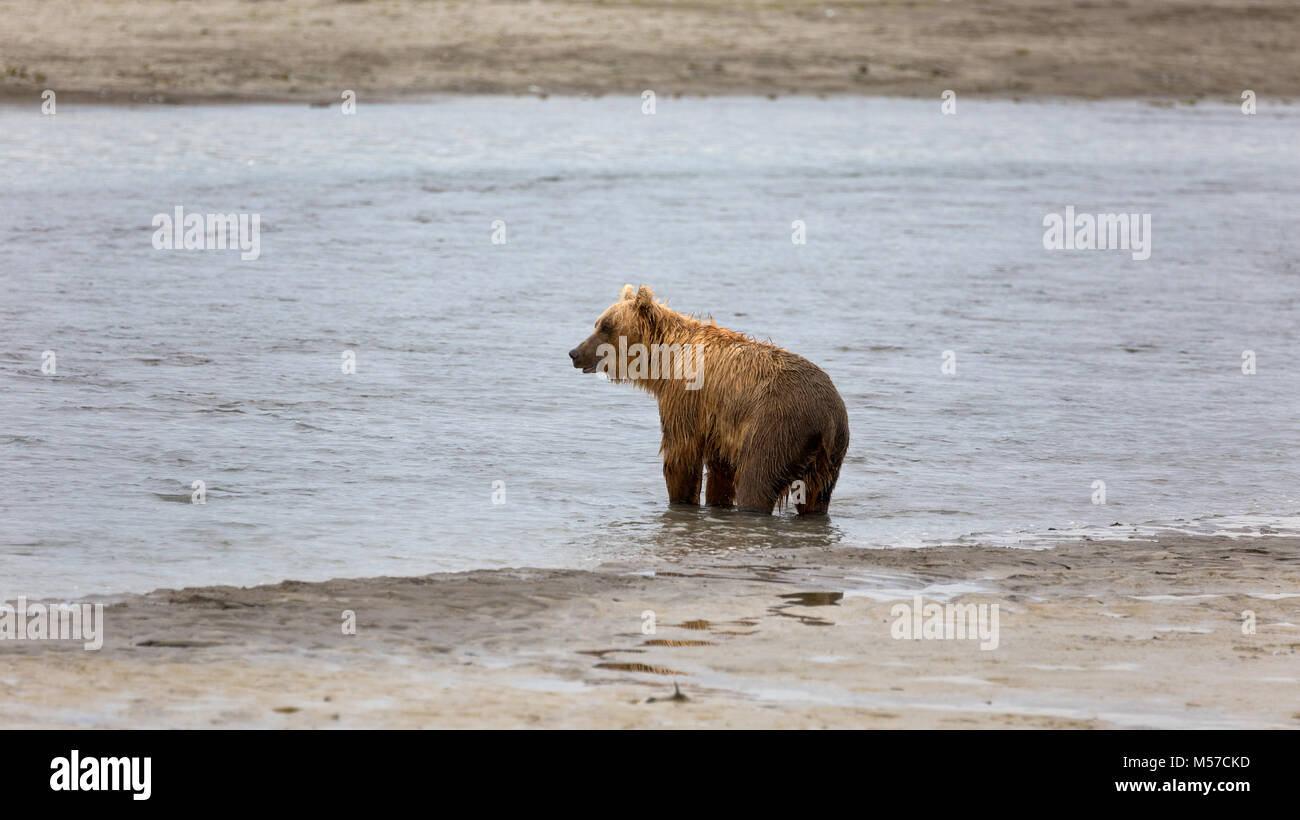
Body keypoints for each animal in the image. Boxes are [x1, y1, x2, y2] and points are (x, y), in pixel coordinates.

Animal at [564, 285, 847, 517]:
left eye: (606, 326)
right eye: (597, 322)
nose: (575, 352)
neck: (663, 361)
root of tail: (827, 418)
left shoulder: (686, 398)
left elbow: (681, 452)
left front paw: (680, 499)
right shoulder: (721, 424)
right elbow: (720, 471)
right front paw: (716, 503)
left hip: (777, 429)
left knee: (756, 481)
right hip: (828, 460)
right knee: (816, 499)